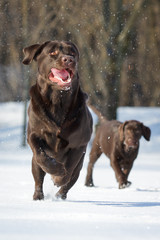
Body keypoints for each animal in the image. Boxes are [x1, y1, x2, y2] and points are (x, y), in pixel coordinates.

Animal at [22, 40, 92, 200]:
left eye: (72, 52)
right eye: (52, 52)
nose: (69, 59)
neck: (58, 100)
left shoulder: (79, 144)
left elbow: (70, 167)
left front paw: (59, 177)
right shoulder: (33, 135)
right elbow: (41, 155)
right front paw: (56, 171)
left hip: (80, 166)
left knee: (70, 181)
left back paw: (60, 195)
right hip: (34, 165)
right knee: (38, 177)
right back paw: (38, 197)